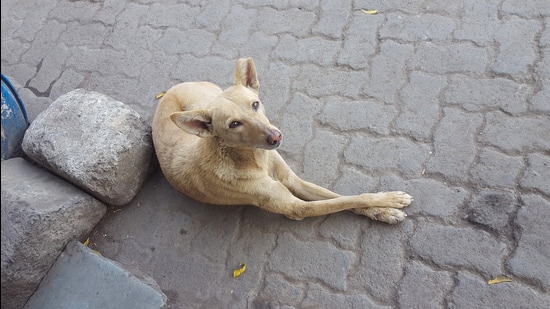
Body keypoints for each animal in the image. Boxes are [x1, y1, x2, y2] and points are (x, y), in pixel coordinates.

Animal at [153, 57, 412, 221]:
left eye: (255, 104)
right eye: (234, 124)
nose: (276, 137)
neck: (255, 159)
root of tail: (172, 89)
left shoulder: (293, 180)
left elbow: (347, 198)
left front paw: (382, 207)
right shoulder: (297, 208)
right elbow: (345, 202)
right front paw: (388, 202)